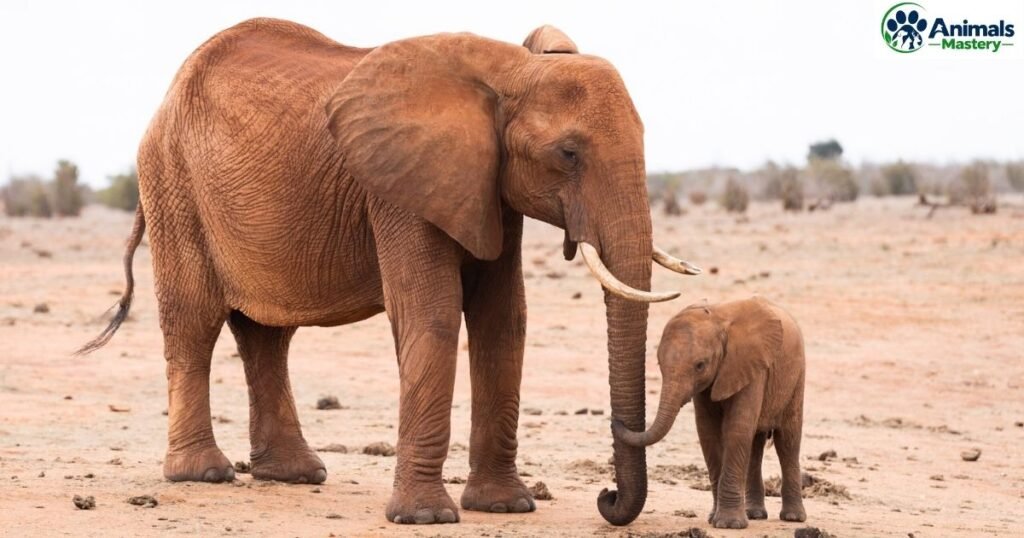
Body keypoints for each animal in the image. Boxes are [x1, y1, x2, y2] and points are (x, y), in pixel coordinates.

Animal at [78, 18, 701, 525]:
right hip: (173, 183)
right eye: (568, 154)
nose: (606, 498)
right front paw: (426, 518)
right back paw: (203, 474)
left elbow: (505, 320)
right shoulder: (400, 189)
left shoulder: (488, 188)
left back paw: (295, 475)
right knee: (194, 323)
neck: (508, 69)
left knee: (267, 336)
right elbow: (433, 315)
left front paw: (506, 507)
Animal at [613, 297, 806, 529]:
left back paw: (793, 518)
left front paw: (730, 525)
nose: (617, 421)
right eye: (659, 363)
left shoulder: (749, 365)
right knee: (755, 445)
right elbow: (708, 432)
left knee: (787, 441)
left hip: (796, 376)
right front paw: (714, 519)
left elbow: (737, 428)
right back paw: (754, 514)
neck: (718, 319)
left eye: (700, 365)